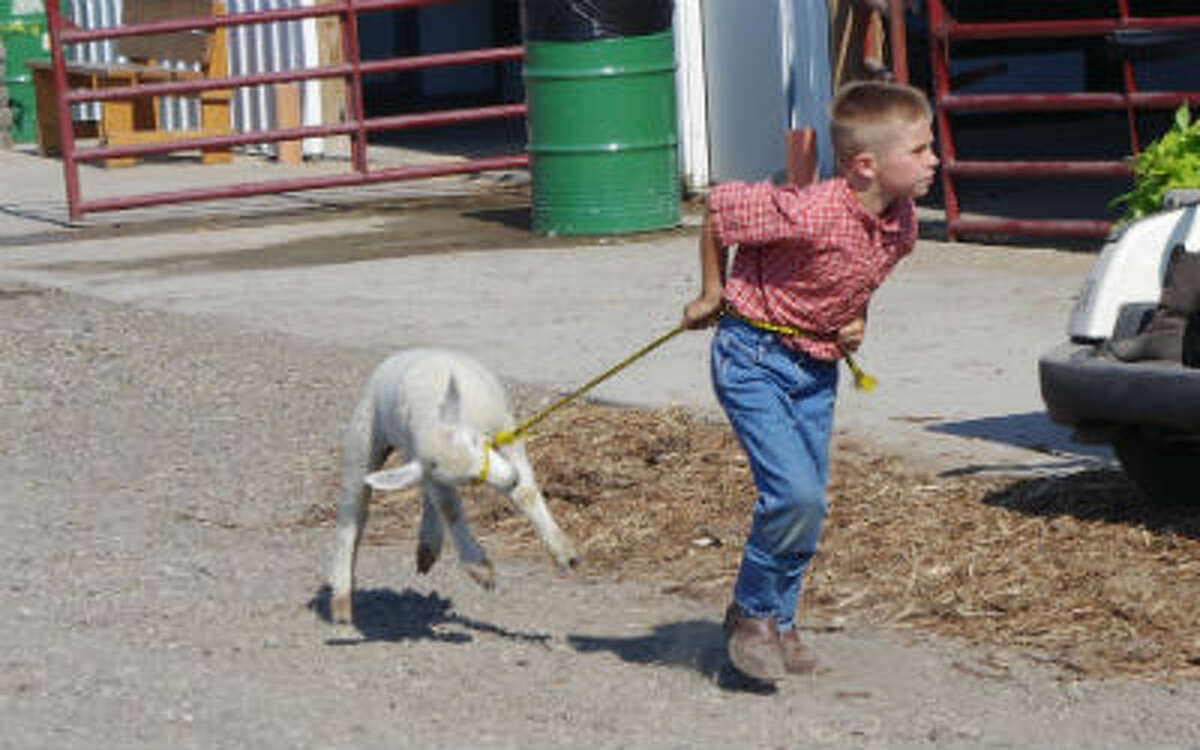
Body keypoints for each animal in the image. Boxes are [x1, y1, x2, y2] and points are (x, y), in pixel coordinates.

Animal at [328, 348, 580, 624]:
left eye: (476, 442)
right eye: (467, 479)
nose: (510, 479)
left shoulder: (506, 433)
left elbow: (526, 493)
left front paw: (564, 551)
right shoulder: (434, 472)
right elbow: (451, 510)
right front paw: (480, 568)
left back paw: (427, 547)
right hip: (364, 437)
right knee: (352, 515)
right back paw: (341, 600)